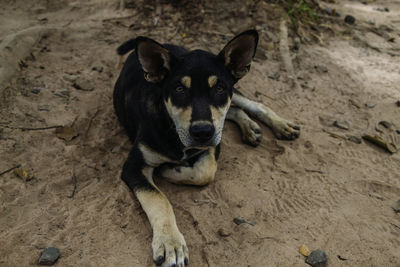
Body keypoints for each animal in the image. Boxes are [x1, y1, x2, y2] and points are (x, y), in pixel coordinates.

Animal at [112, 30, 300, 266]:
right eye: (179, 89)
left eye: (219, 88)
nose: (202, 132)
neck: (172, 128)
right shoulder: (134, 166)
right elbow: (159, 199)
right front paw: (170, 243)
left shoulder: (214, 141)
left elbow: (206, 171)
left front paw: (171, 170)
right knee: (233, 111)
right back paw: (250, 127)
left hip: (235, 92)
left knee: (249, 105)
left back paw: (279, 125)